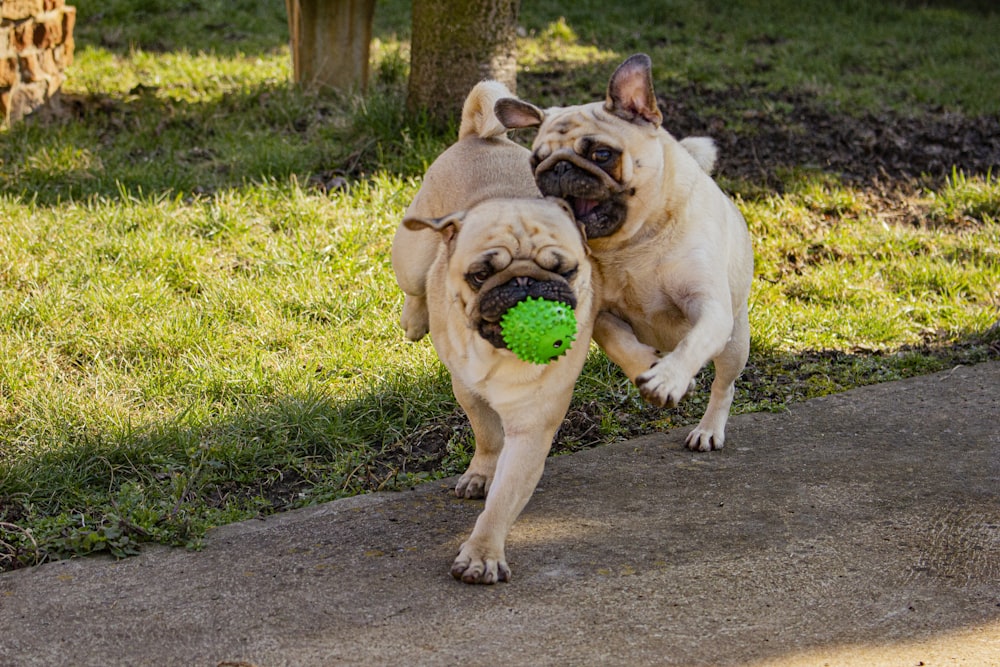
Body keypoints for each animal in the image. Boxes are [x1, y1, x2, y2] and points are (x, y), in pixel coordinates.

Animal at [496, 51, 752, 448]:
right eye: (536, 160)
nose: (558, 168)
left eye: (602, 154)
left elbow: (693, 343)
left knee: (724, 386)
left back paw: (708, 429)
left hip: (734, 343)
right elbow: (618, 341)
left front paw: (668, 379)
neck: (633, 242)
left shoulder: (709, 307)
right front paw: (647, 367)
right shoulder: (598, 312)